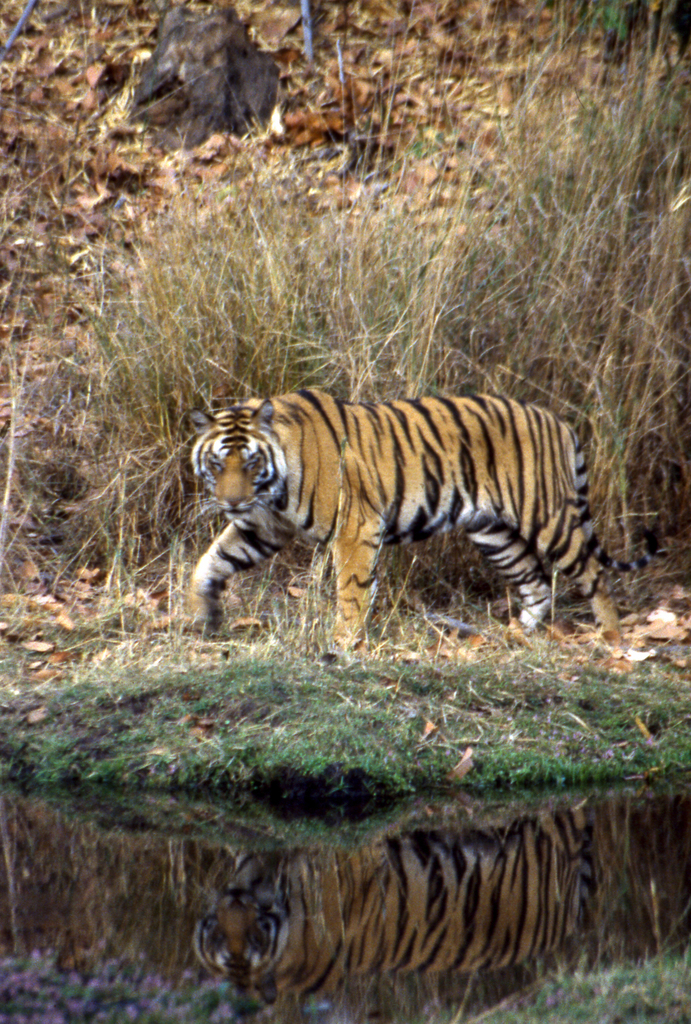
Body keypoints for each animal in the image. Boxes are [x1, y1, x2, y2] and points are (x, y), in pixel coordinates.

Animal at [188, 389, 658, 643]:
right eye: (217, 464)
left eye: (251, 462)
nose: (232, 502)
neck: (274, 487)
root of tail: (557, 419)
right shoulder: (262, 526)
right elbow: (209, 562)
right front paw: (204, 616)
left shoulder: (354, 526)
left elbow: (351, 589)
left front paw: (344, 642)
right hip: (493, 531)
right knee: (537, 583)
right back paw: (515, 635)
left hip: (546, 515)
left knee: (593, 573)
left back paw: (612, 638)